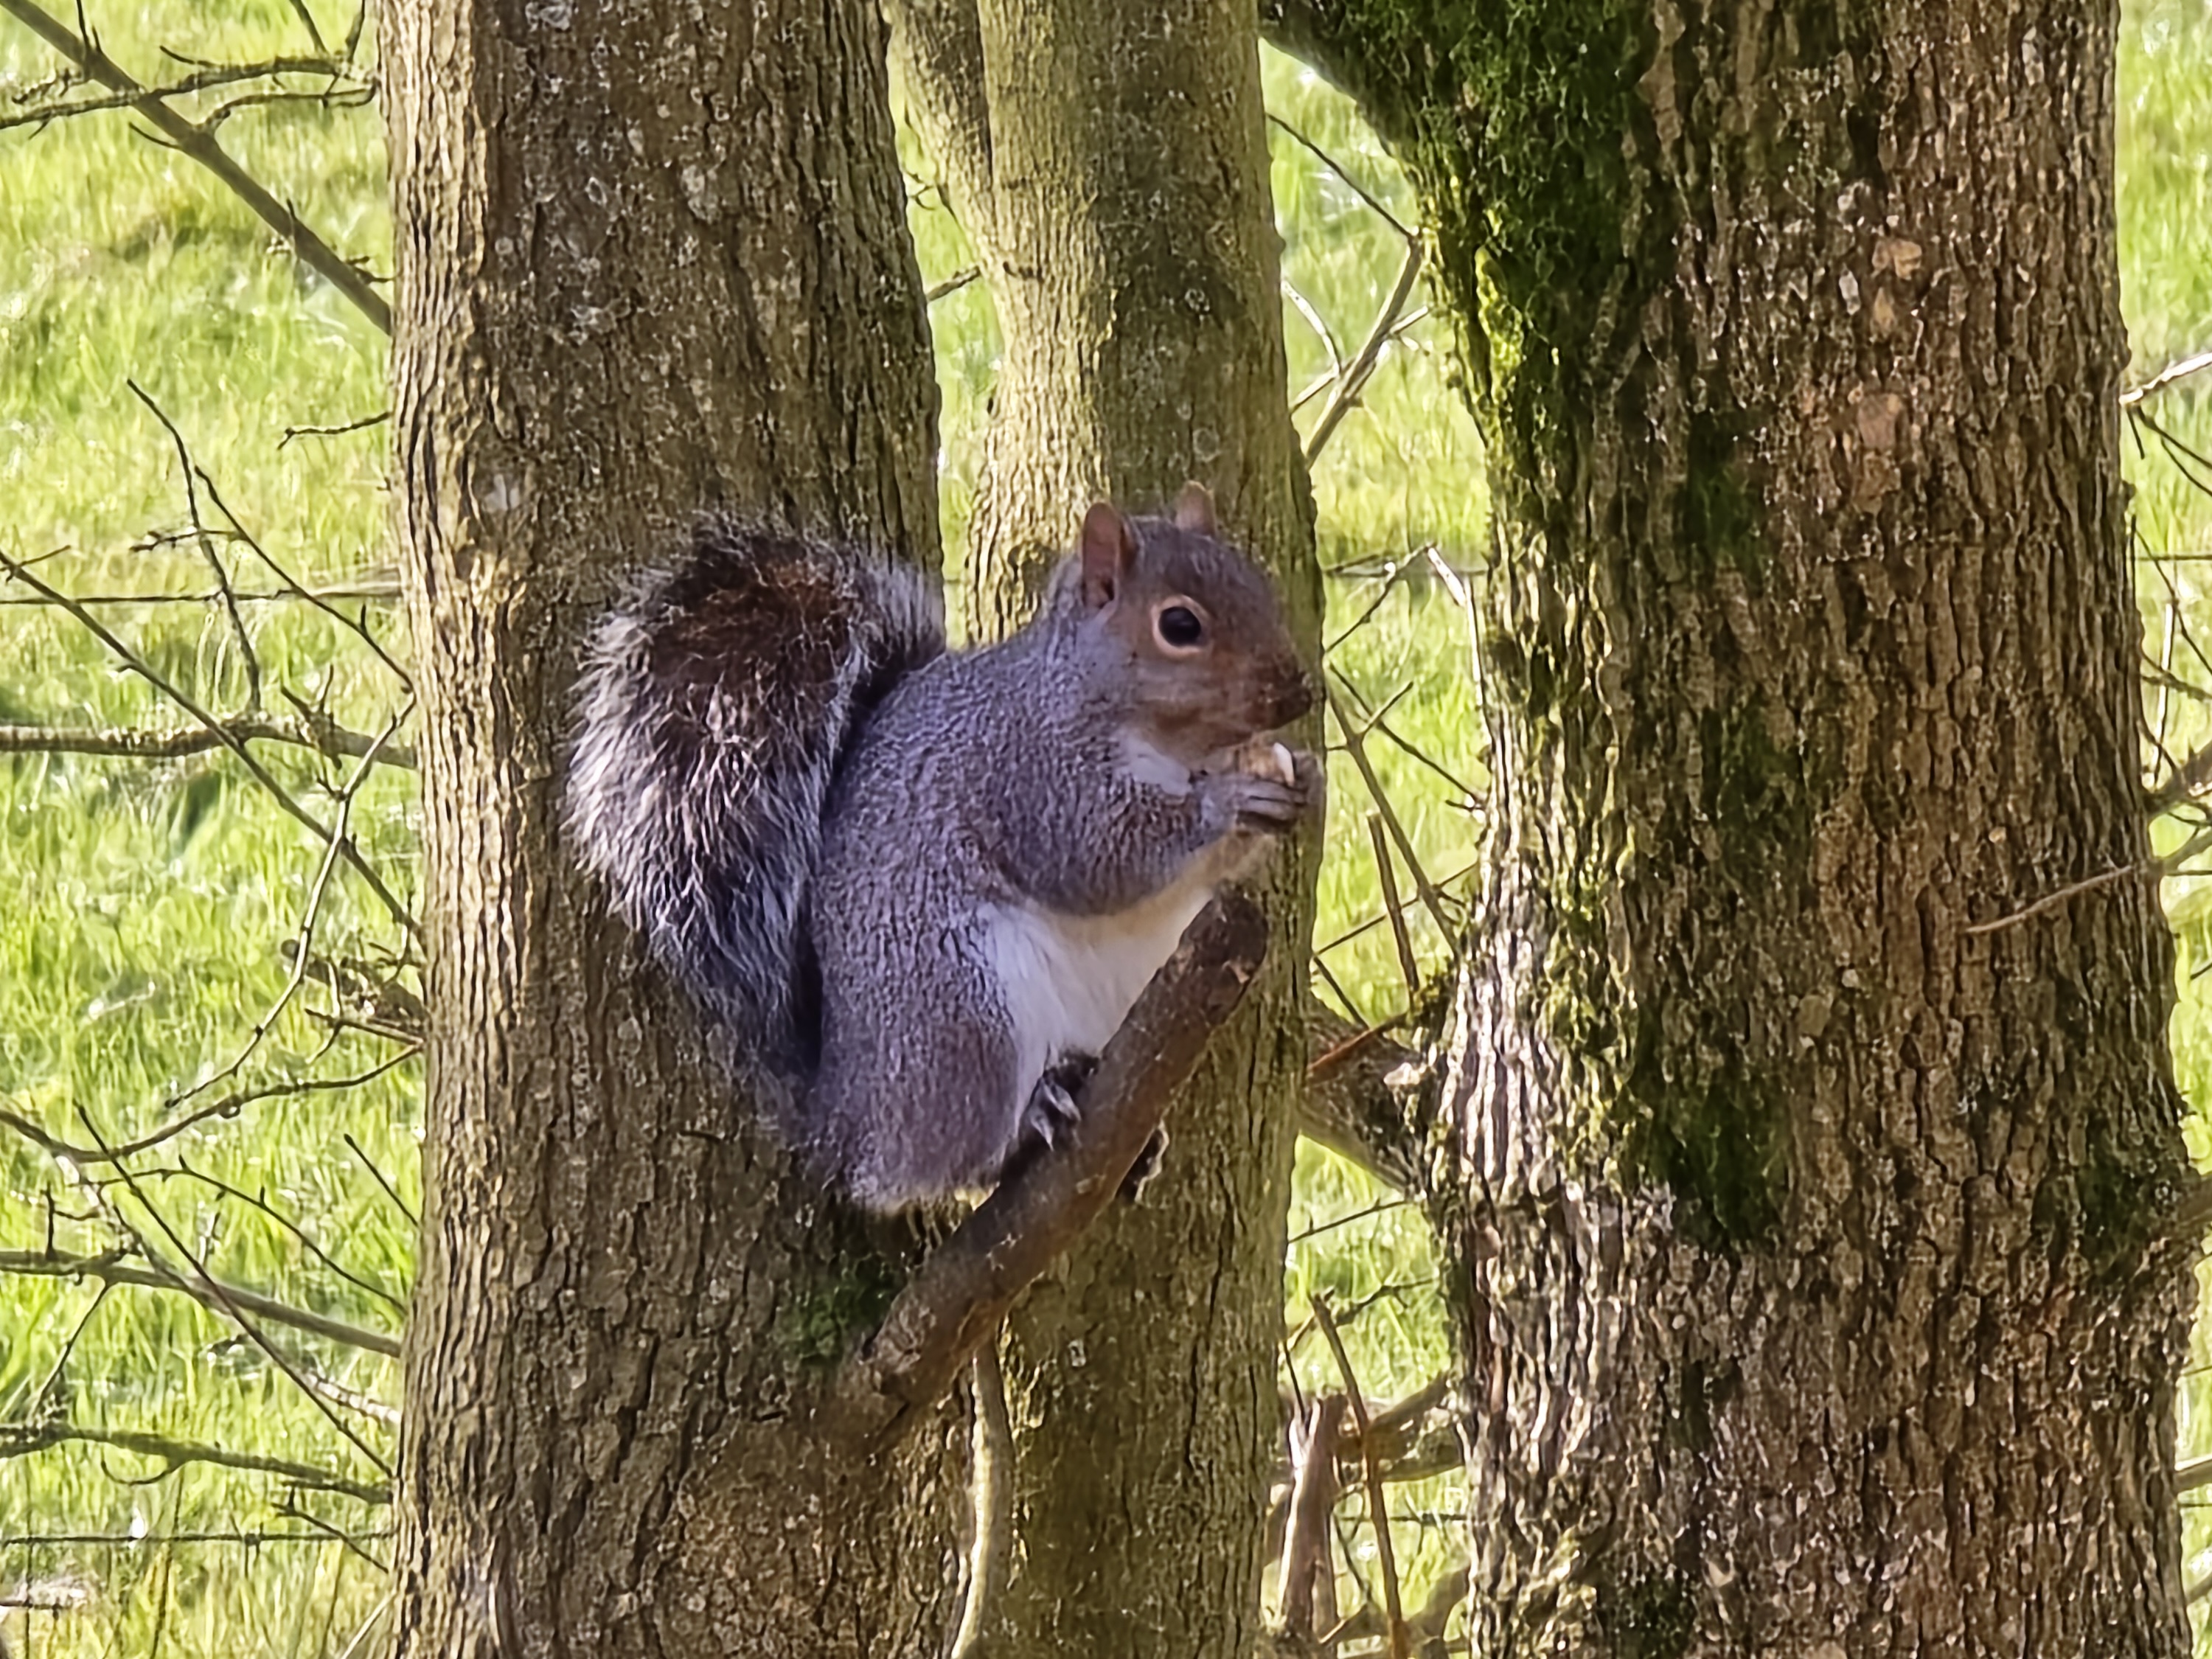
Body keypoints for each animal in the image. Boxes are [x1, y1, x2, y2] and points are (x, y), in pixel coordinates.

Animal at [566, 487, 1310, 1212]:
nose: (1299, 691)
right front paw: (1227, 802)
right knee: (946, 1160)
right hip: (964, 1016)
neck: (1169, 745)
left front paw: (1302, 778)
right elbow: (1098, 855)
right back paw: (1027, 1122)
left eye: (1258, 583)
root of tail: (849, 1118)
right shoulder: (1029, 773)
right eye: (1180, 626)